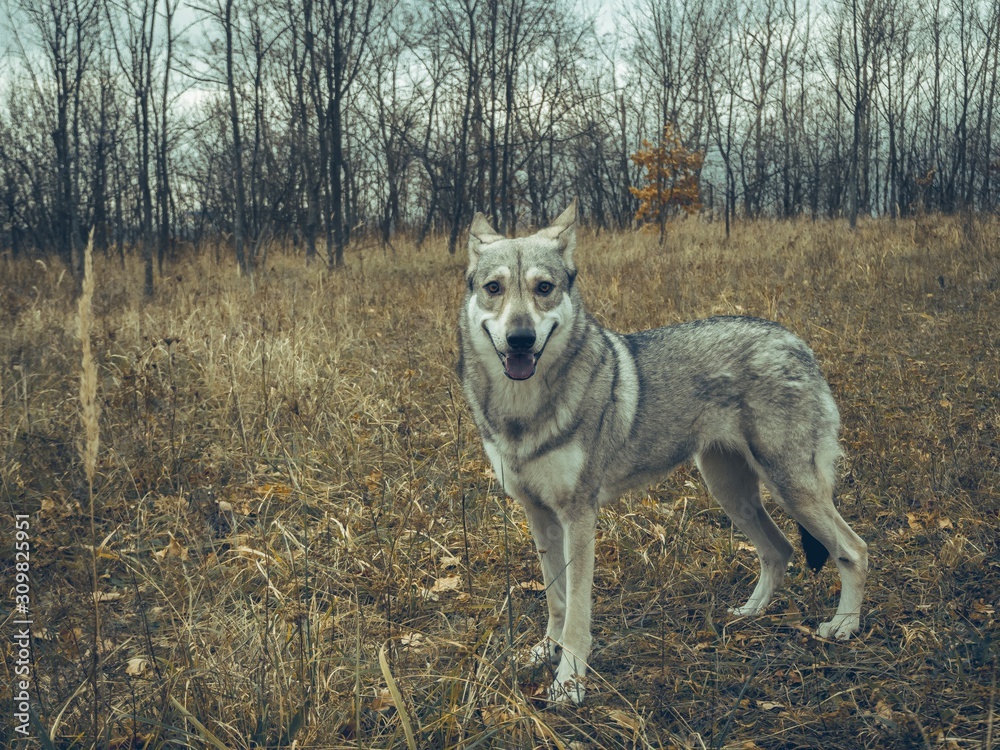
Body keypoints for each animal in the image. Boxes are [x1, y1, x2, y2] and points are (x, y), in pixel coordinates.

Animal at [457, 200, 868, 704]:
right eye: (494, 288)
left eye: (544, 288)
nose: (520, 339)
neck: (523, 409)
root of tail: (795, 341)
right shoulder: (538, 514)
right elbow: (555, 599)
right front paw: (544, 652)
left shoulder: (579, 517)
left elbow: (577, 615)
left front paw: (569, 682)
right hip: (732, 493)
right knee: (780, 550)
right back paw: (748, 613)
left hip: (792, 488)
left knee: (854, 550)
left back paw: (844, 626)